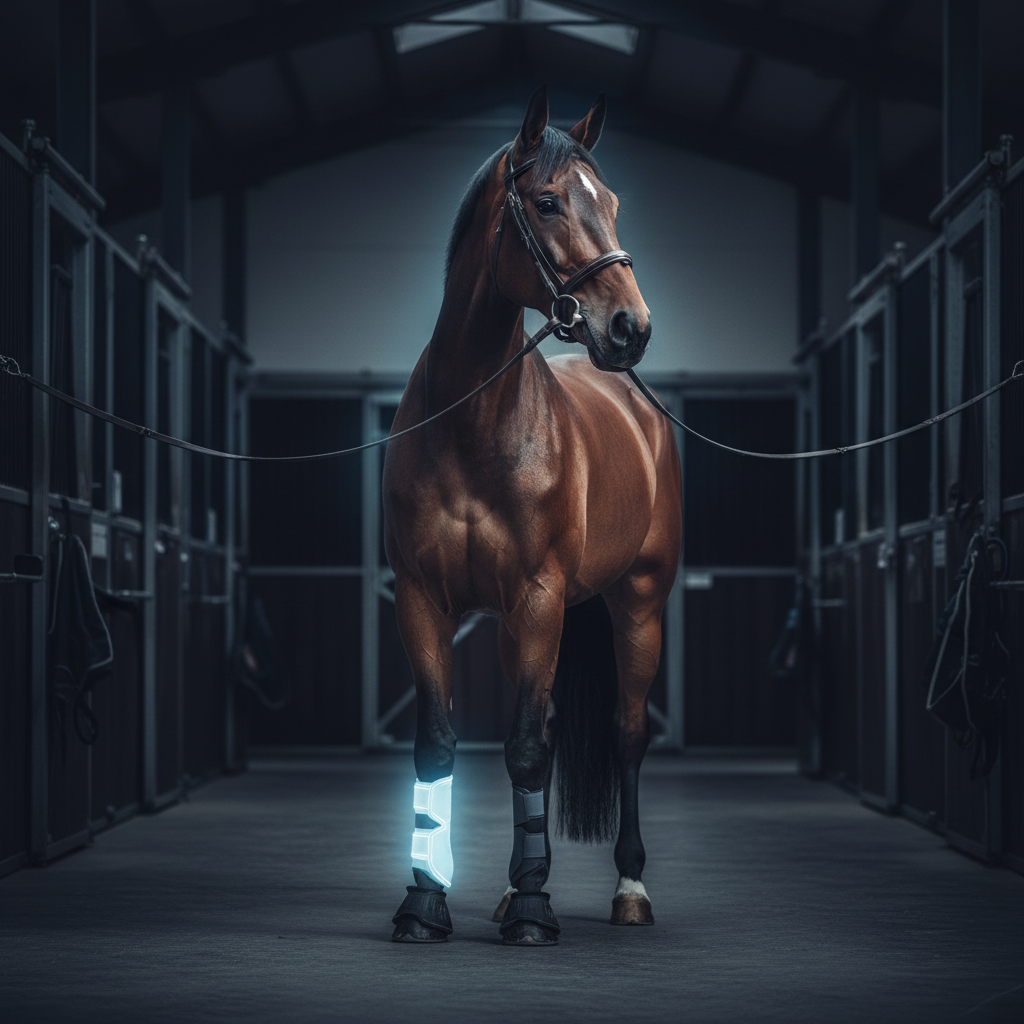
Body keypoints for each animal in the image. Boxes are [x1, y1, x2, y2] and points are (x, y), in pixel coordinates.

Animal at [382, 86, 682, 945]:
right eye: (547, 201)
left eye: (609, 203)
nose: (631, 328)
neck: (472, 422)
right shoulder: (422, 599)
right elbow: (440, 747)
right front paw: (425, 902)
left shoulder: (542, 597)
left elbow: (522, 751)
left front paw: (535, 911)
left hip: (637, 604)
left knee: (624, 734)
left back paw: (628, 890)